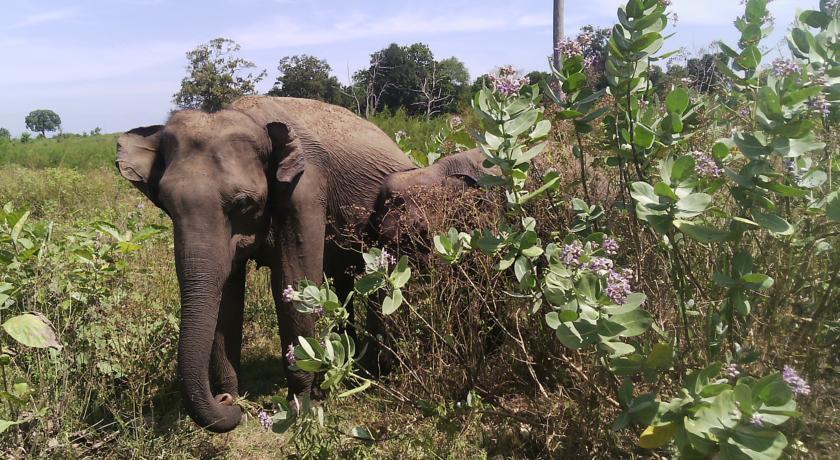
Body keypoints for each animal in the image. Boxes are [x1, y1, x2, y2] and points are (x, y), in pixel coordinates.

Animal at [113, 95, 416, 434]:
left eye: (243, 203)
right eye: (165, 203)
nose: (224, 401)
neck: (250, 117)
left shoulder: (306, 187)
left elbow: (295, 278)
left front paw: (302, 406)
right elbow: (228, 294)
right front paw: (237, 399)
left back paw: (374, 370)